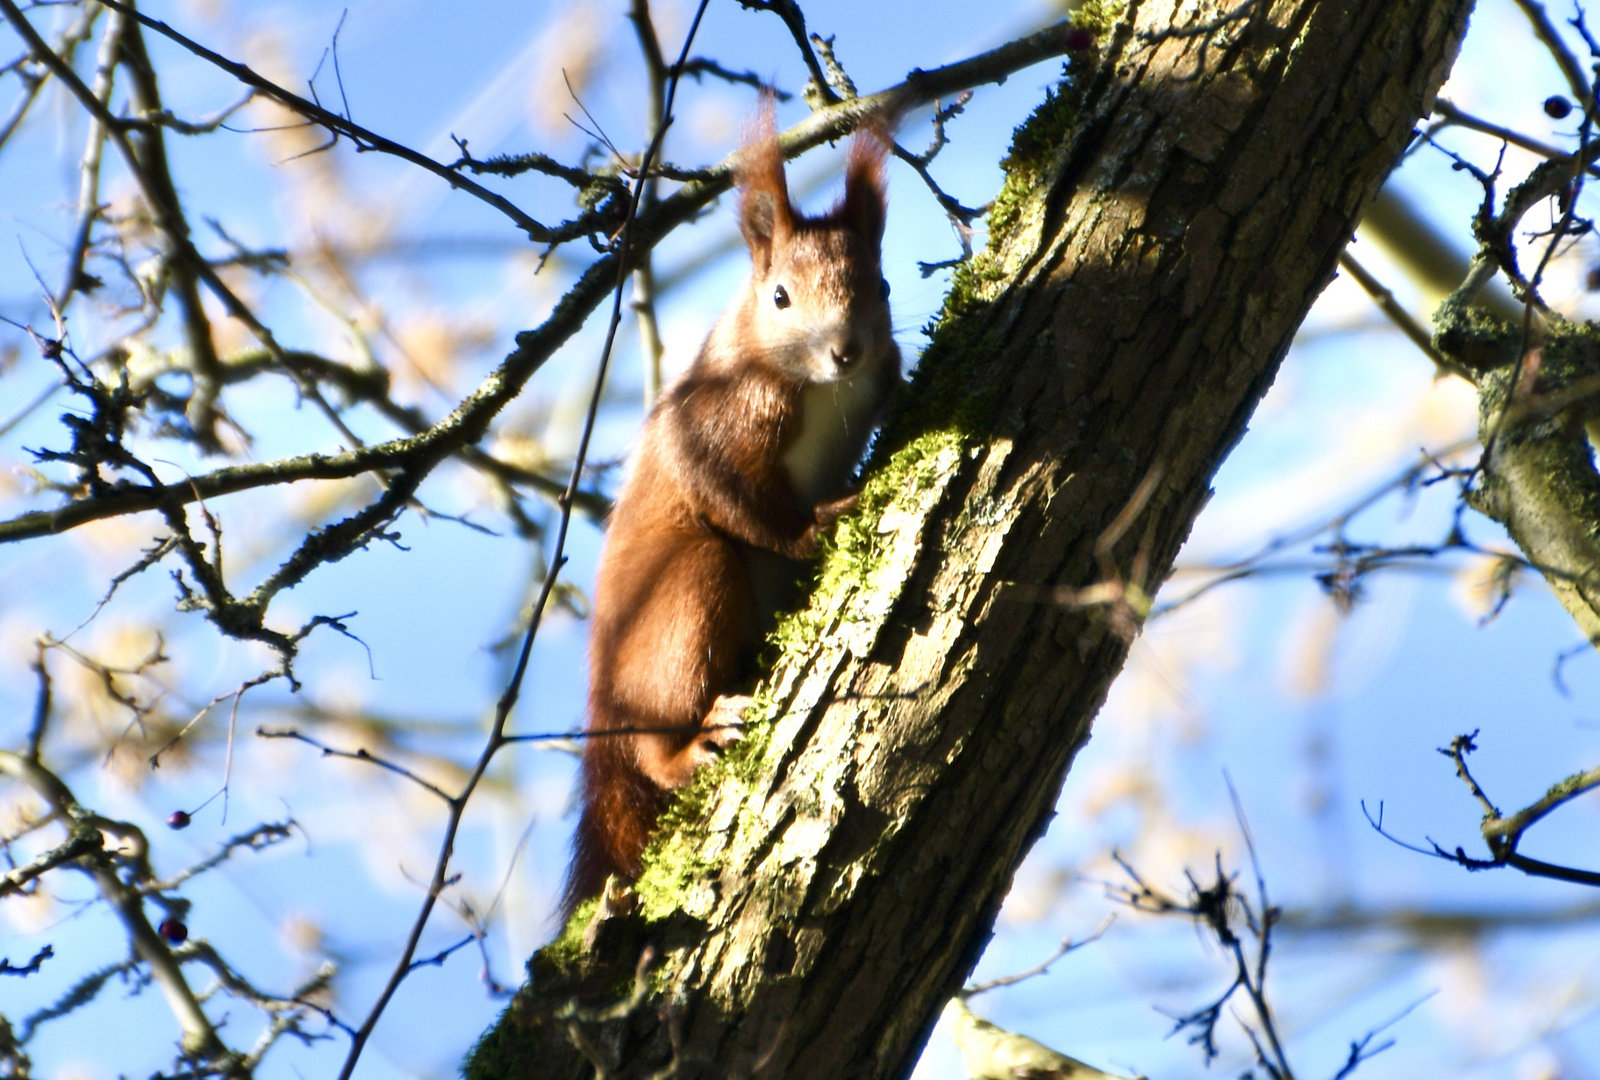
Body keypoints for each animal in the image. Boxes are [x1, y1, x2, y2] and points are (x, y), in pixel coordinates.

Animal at [566, 109, 908, 915]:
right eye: (779, 297)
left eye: (881, 284)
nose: (846, 351)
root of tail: (603, 708)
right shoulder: (716, 419)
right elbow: (733, 494)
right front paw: (814, 527)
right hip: (686, 592)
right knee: (655, 747)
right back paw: (694, 743)